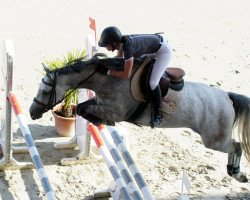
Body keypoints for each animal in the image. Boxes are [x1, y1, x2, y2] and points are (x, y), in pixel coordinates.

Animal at [29, 53, 250, 183]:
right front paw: (99, 121)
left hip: (214, 140)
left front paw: (102, 121)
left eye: (45, 91)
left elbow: (84, 111)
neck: (108, 79)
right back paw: (233, 171)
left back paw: (237, 173)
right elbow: (81, 109)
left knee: (236, 146)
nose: (32, 112)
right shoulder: (100, 103)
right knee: (235, 146)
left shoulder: (116, 111)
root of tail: (228, 97)